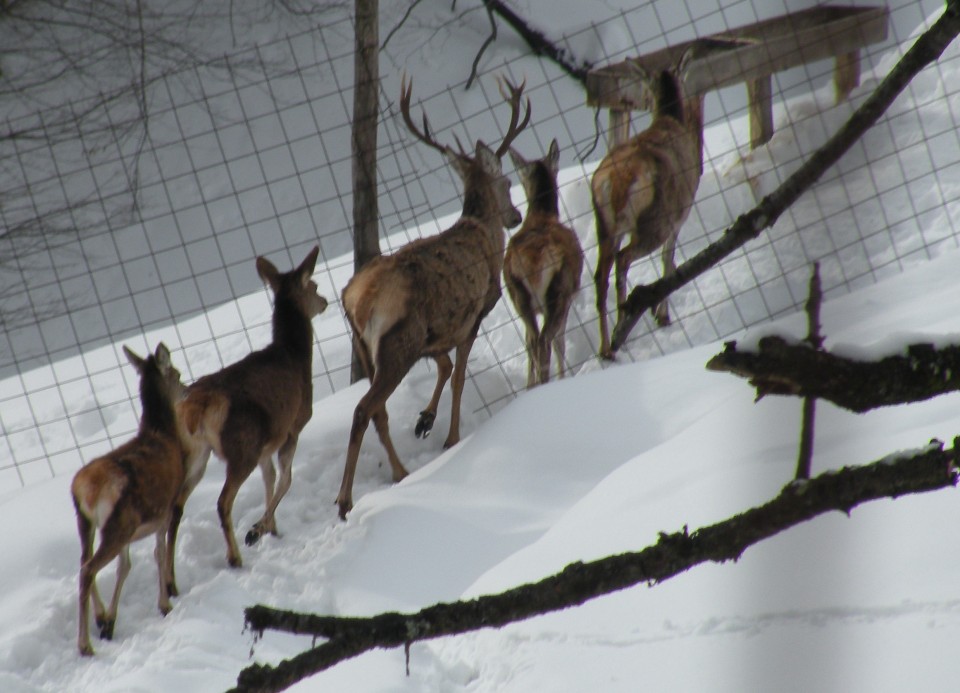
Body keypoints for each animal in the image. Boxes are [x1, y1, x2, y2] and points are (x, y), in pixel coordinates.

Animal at [72, 344, 188, 656]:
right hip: (118, 523)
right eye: (176, 373)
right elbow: (159, 552)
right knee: (88, 569)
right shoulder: (167, 506)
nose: (186, 389)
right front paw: (164, 604)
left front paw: (111, 620)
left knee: (83, 561)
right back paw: (84, 644)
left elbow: (125, 567)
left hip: (89, 523)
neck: (165, 435)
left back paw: (100, 618)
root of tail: (85, 489)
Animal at [174, 246, 332, 572]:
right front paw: (258, 529)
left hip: (197, 452)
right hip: (241, 444)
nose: (324, 301)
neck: (297, 357)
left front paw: (272, 528)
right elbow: (286, 479)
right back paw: (235, 556)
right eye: (314, 286)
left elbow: (269, 478)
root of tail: (197, 406)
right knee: (222, 501)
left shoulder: (266, 445)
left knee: (175, 509)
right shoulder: (293, 425)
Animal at [336, 75, 532, 520]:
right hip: (398, 342)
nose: (516, 217)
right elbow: (458, 376)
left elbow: (444, 367)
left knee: (378, 412)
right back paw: (345, 499)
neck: (482, 233)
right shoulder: (474, 314)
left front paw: (425, 419)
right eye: (506, 182)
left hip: (369, 347)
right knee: (363, 409)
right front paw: (451, 436)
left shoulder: (438, 331)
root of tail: (358, 299)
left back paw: (399, 470)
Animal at [506, 138, 580, 386]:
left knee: (532, 341)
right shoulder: (568, 299)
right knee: (546, 341)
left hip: (519, 297)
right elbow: (560, 343)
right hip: (559, 292)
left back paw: (533, 386)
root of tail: (533, 265)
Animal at [592, 44, 704, 356]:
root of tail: (617, 180)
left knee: (600, 275)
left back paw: (606, 346)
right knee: (624, 258)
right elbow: (669, 260)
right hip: (655, 219)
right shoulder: (680, 214)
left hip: (605, 224)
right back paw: (622, 325)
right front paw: (663, 315)